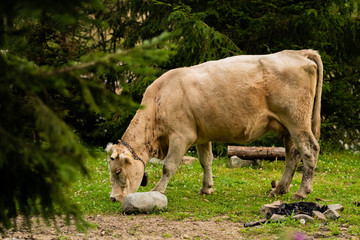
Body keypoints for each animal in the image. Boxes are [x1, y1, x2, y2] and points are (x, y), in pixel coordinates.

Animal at [106, 49, 324, 202]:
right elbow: (206, 161)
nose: (114, 198)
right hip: (287, 127)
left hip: (297, 121)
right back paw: (279, 189)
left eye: (118, 171)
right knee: (293, 155)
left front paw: (157, 190)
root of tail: (297, 53)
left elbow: (169, 166)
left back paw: (301, 192)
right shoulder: (201, 135)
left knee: (309, 150)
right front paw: (206, 188)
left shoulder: (181, 135)